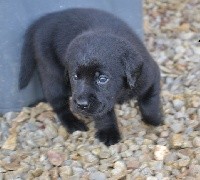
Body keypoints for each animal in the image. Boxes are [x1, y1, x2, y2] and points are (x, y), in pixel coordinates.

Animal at [19, 8, 162, 146]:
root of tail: (45, 19)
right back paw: (73, 123)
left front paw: (155, 119)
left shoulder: (150, 76)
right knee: (59, 104)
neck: (121, 92)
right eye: (75, 77)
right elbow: (104, 115)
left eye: (102, 79)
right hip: (52, 76)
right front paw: (109, 132)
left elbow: (150, 101)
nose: (81, 104)